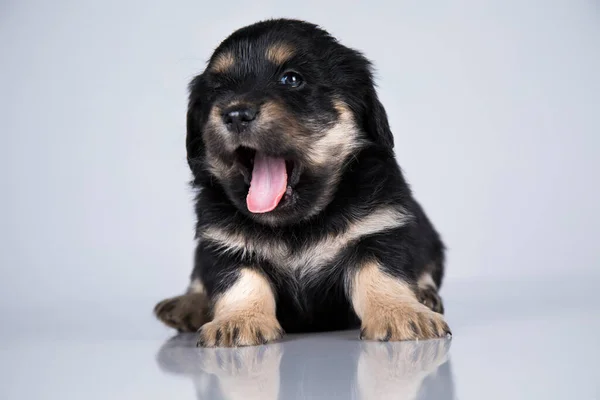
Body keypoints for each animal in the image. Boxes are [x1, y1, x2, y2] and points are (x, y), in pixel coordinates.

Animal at [155, 18, 450, 346]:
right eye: (218, 88)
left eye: (292, 79)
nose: (235, 114)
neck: (296, 225)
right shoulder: (221, 243)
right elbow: (240, 280)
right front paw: (238, 320)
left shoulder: (380, 227)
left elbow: (381, 274)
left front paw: (400, 312)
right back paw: (187, 305)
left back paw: (424, 295)